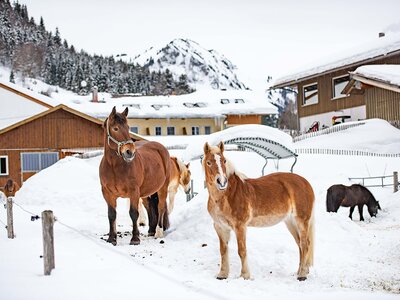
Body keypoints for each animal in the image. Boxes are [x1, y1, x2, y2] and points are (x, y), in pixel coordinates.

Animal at [100, 106, 170, 245]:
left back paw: (158, 232)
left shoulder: (134, 192)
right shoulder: (107, 193)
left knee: (160, 207)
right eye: (115, 128)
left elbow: (133, 213)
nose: (129, 152)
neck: (114, 167)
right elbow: (111, 214)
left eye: (128, 127)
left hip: (162, 188)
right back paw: (151, 230)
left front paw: (135, 239)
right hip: (146, 192)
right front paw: (112, 238)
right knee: (149, 207)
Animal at [205, 142, 314, 280]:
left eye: (224, 160)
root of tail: (305, 182)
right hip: (290, 222)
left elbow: (242, 251)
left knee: (305, 244)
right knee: (300, 244)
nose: (222, 182)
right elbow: (223, 250)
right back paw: (299, 271)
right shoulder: (220, 227)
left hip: (301, 221)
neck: (226, 195)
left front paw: (245, 275)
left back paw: (302, 275)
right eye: (208, 162)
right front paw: (222, 274)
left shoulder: (240, 227)